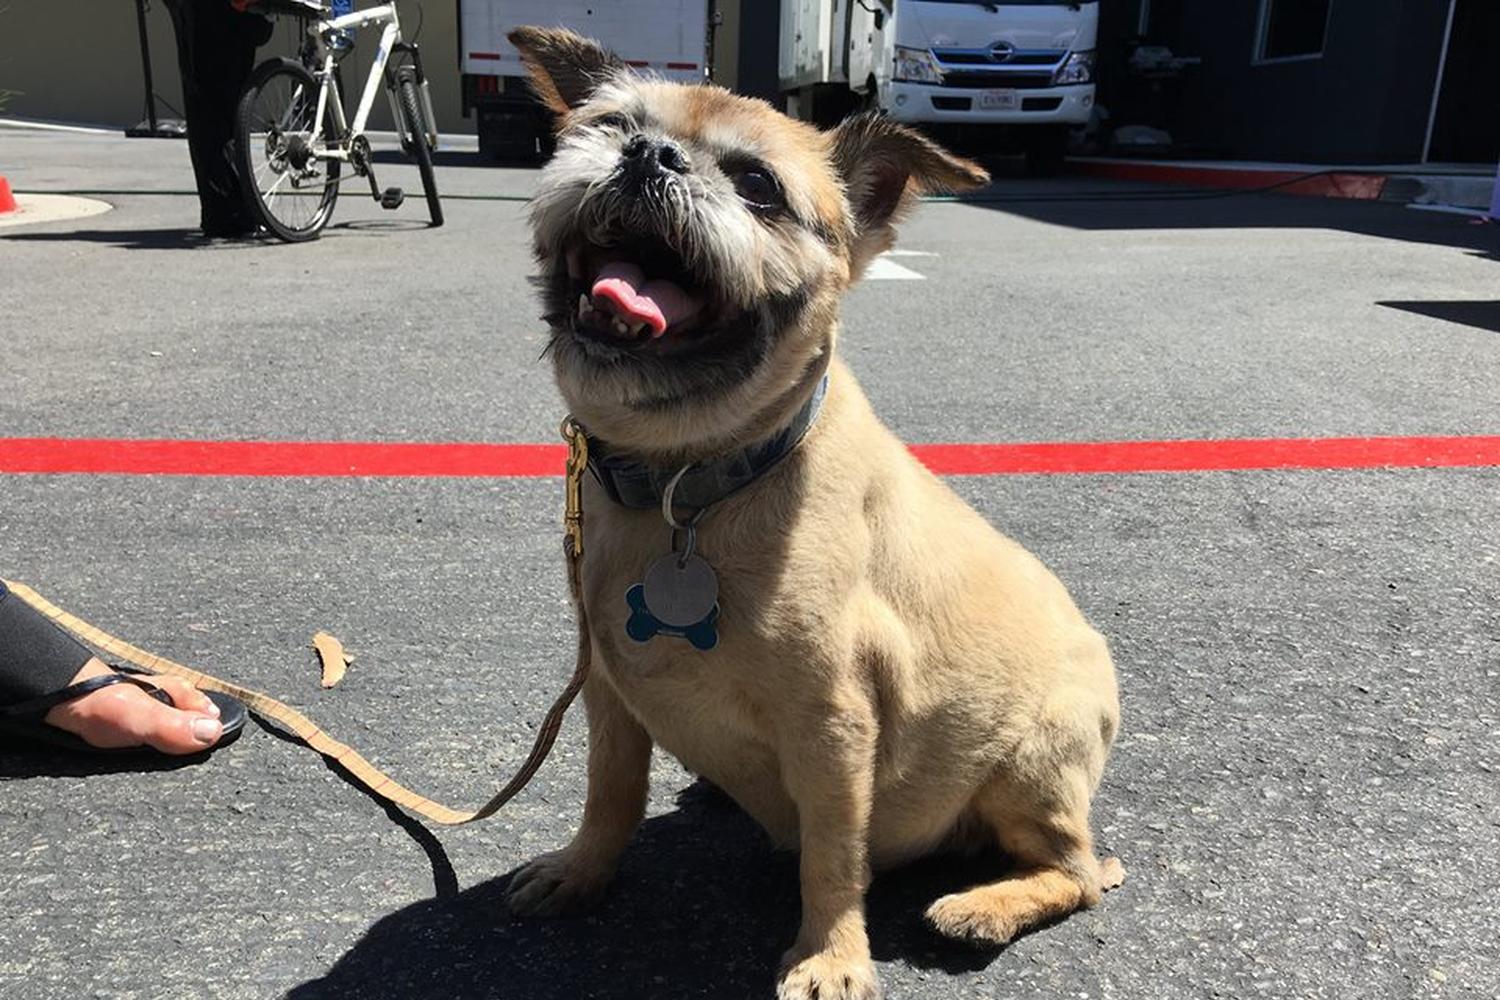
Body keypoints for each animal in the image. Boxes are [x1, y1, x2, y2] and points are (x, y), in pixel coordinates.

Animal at [504, 27, 1123, 1000]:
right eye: (609, 126)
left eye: (758, 186)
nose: (650, 154)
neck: (685, 480)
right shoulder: (608, 691)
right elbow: (611, 794)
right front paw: (582, 871)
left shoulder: (834, 726)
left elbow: (833, 855)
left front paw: (830, 954)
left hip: (1030, 765)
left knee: (1080, 872)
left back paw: (983, 907)